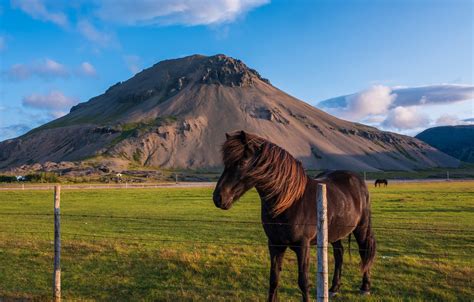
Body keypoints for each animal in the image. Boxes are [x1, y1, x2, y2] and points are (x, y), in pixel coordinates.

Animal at [213, 131, 376, 300]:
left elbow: (303, 282)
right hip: (334, 232)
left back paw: (365, 287)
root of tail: (357, 180)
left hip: (361, 228)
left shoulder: (302, 246)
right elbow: (274, 279)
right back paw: (333, 288)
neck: (290, 203)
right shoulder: (275, 244)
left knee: (364, 251)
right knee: (339, 254)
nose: (218, 198)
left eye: (242, 162)